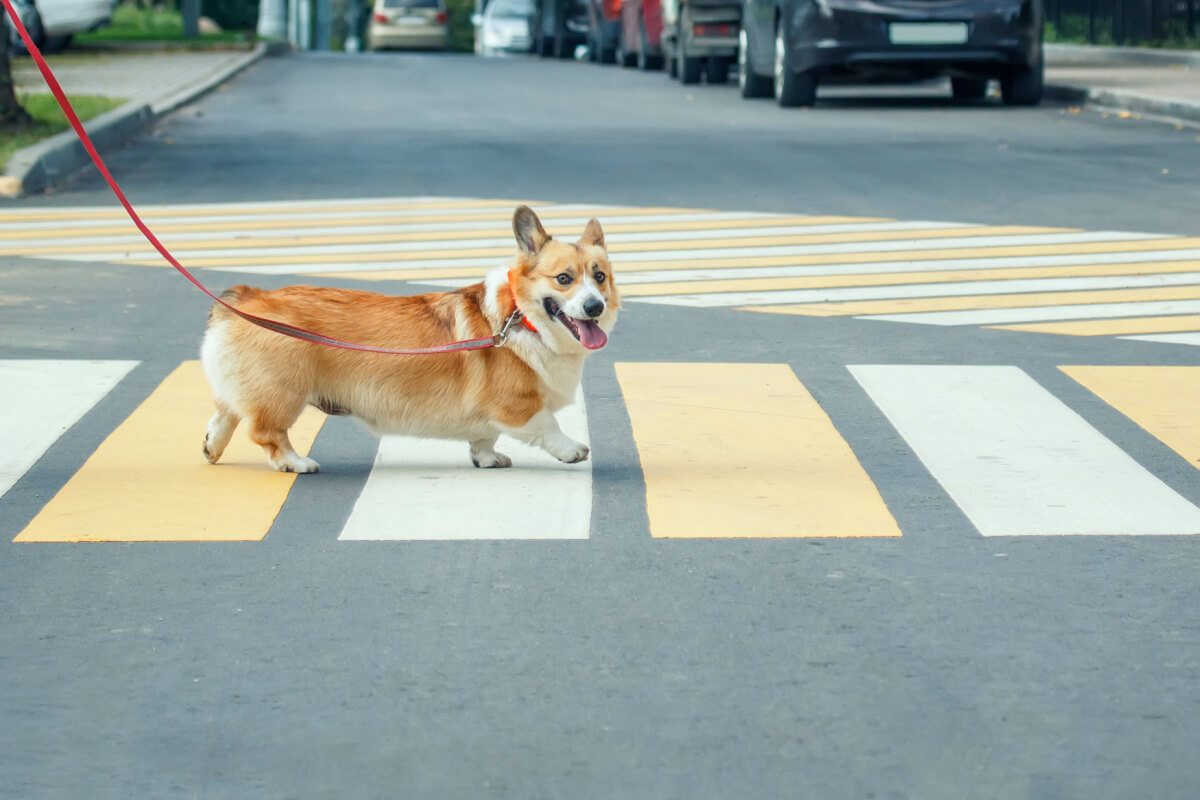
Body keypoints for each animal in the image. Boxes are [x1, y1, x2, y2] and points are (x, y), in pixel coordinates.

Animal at [199, 203, 619, 472]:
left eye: (599, 277)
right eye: (563, 278)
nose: (595, 306)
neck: (522, 319)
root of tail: (246, 297)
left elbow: (484, 438)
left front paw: (486, 459)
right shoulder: (517, 405)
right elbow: (548, 426)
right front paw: (571, 450)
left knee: (225, 411)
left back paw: (211, 447)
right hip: (284, 393)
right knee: (266, 432)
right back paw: (295, 462)